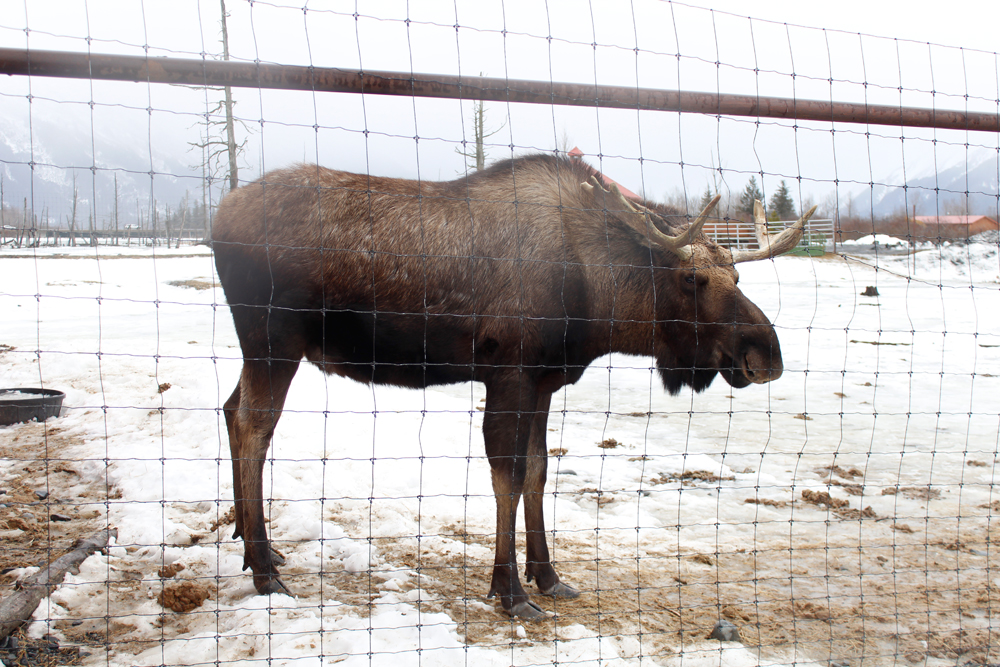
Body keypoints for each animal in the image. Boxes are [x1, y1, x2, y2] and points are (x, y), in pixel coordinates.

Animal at [213, 154, 812, 620]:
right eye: (692, 279)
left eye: (738, 277)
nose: (766, 355)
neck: (596, 299)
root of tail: (219, 215)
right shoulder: (510, 374)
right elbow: (509, 474)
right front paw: (510, 591)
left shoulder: (544, 382)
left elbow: (538, 471)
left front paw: (547, 575)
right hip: (274, 340)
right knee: (253, 425)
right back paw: (263, 569)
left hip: (261, 348)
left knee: (230, 407)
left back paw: (251, 542)